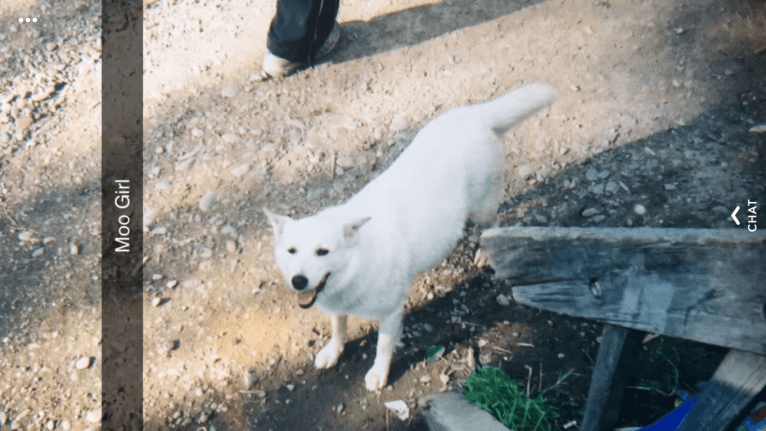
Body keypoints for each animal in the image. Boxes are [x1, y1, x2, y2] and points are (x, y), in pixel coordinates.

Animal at [268, 83, 556, 392]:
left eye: (323, 251)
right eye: (291, 251)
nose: (298, 281)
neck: (357, 262)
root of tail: (476, 114)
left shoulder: (391, 311)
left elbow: (382, 346)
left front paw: (378, 374)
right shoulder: (335, 303)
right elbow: (338, 327)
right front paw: (333, 351)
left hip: (482, 208)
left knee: (493, 223)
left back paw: (484, 252)